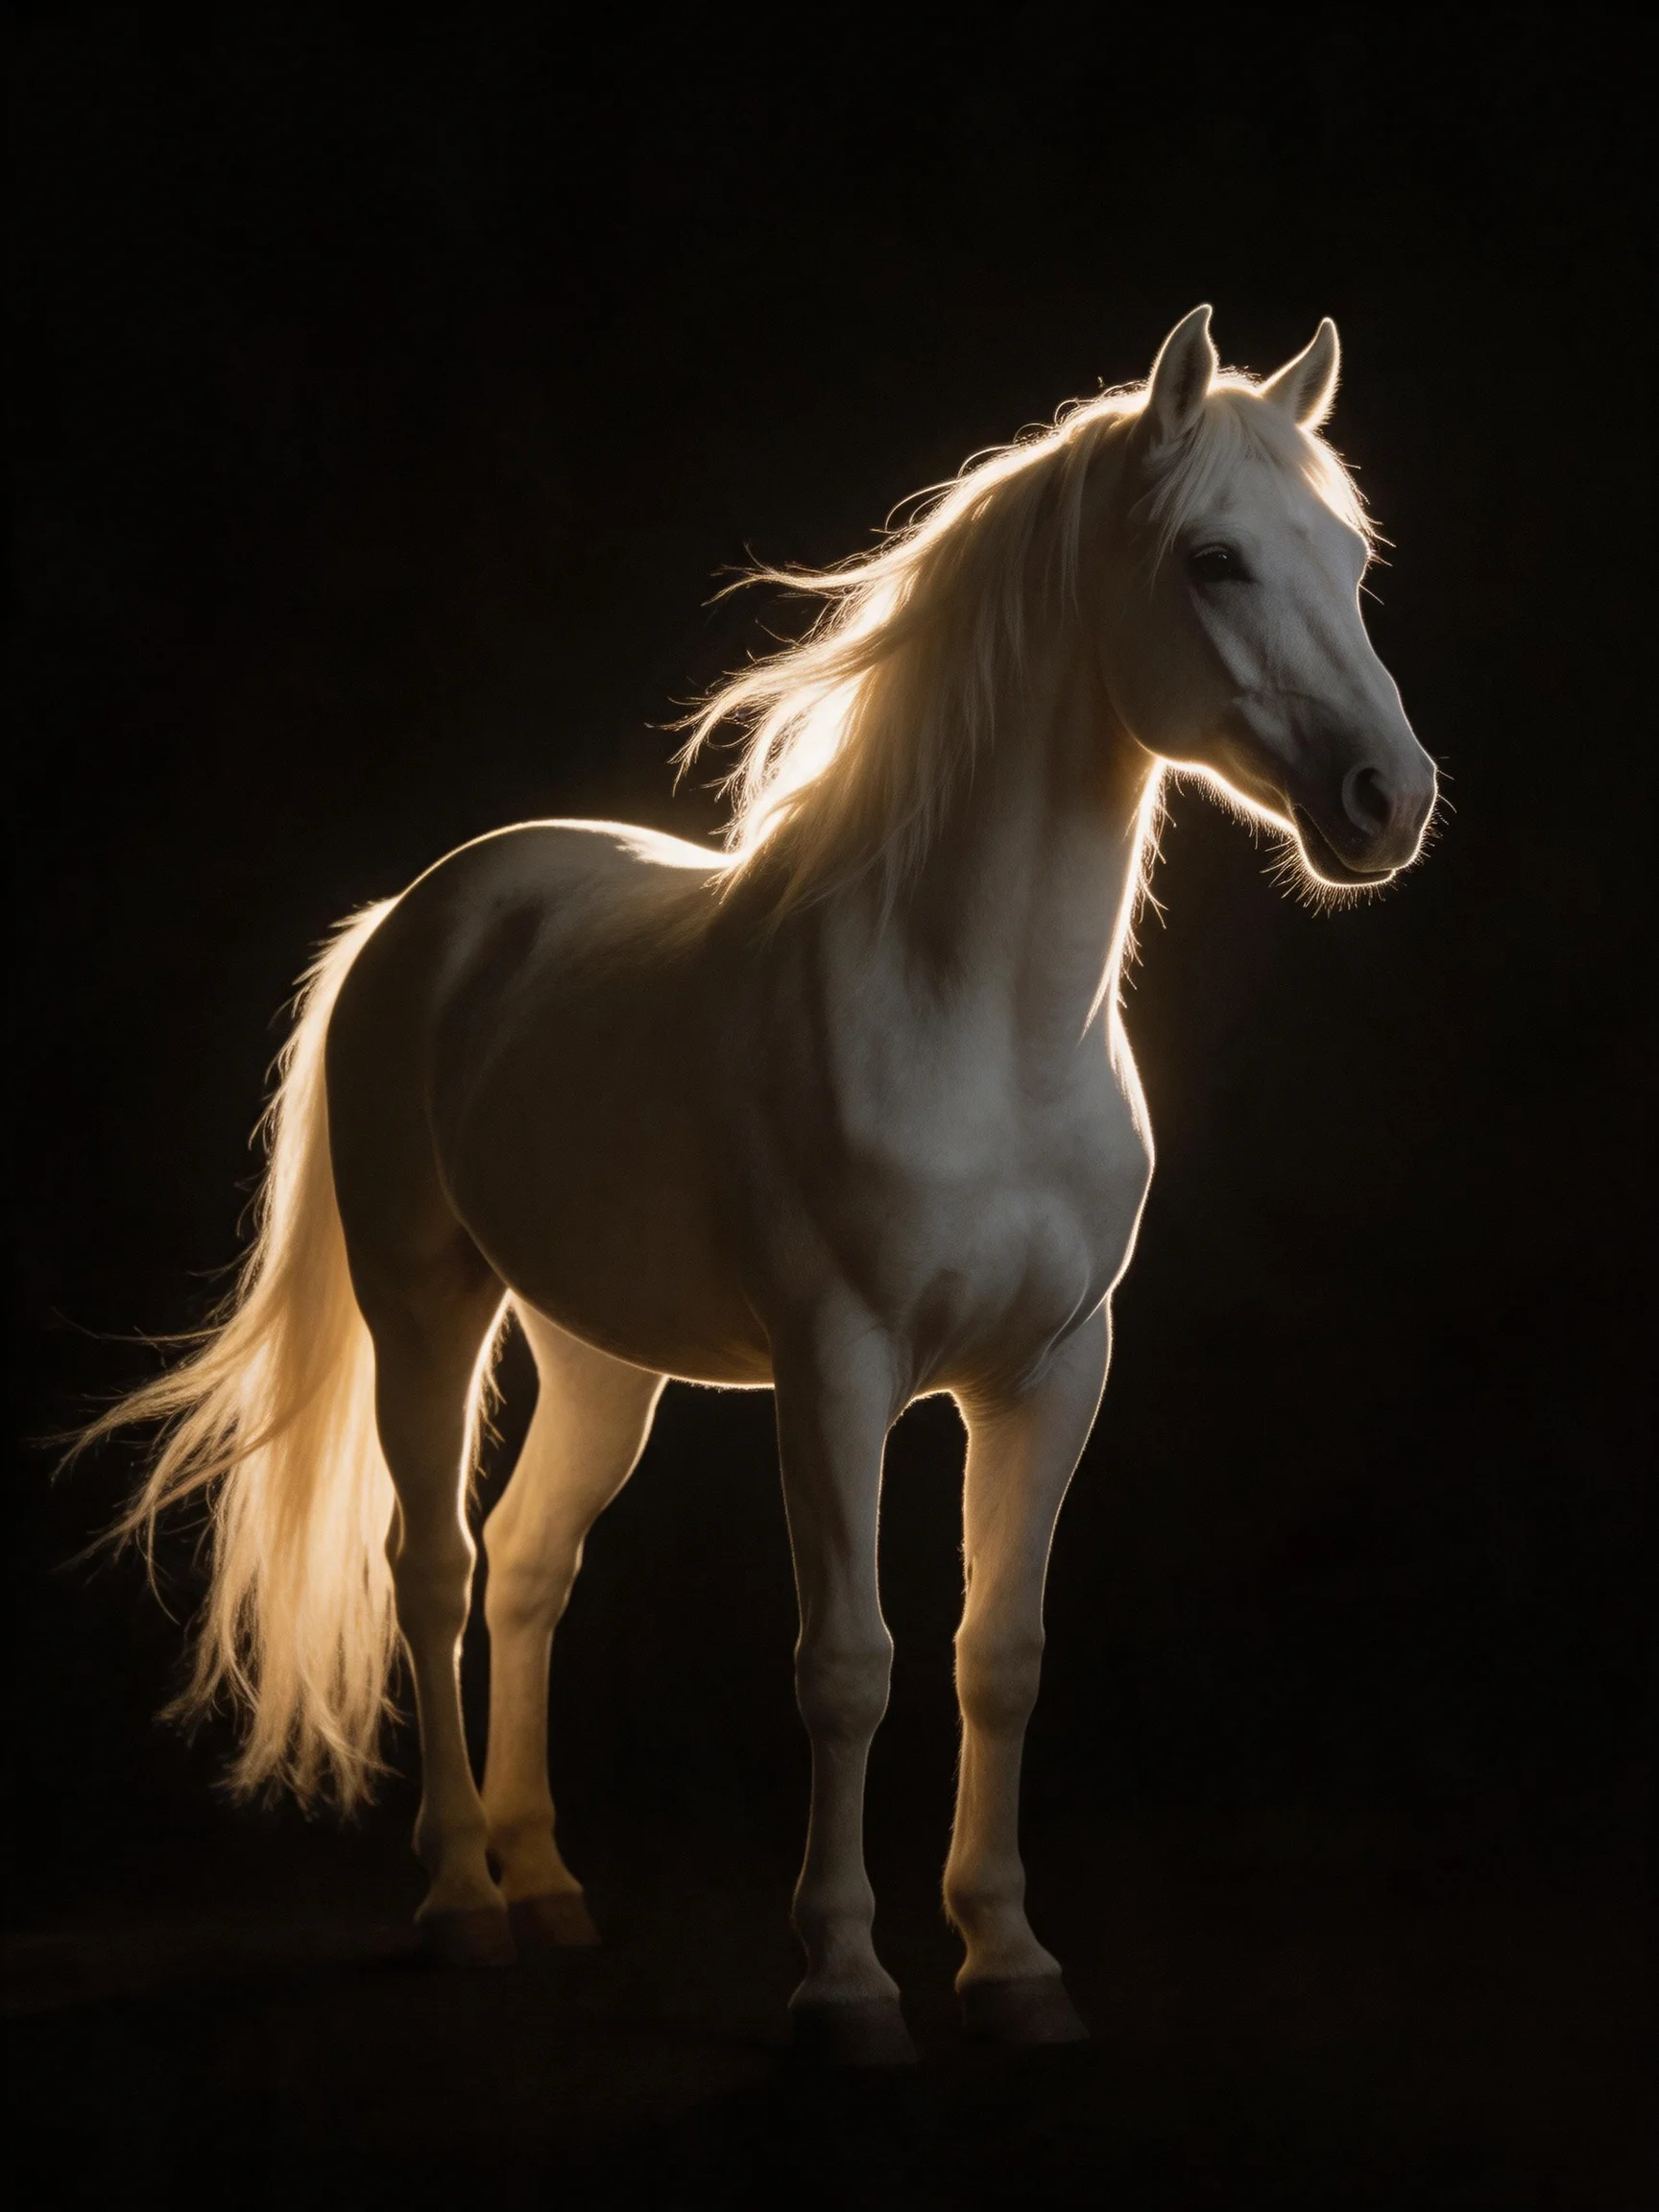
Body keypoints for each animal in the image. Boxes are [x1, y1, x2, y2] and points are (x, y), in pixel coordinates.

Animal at [88, 306, 1437, 2065]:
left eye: (1348, 557)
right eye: (1212, 558)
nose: (1388, 800)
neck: (979, 1022)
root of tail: (427, 909)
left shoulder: (1051, 1372)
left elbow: (999, 1654)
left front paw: (1009, 1961)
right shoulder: (835, 1370)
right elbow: (849, 1662)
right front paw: (846, 1981)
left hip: (599, 1355)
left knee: (528, 1568)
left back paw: (546, 1883)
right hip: (425, 1308)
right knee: (435, 1568)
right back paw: (460, 1900)